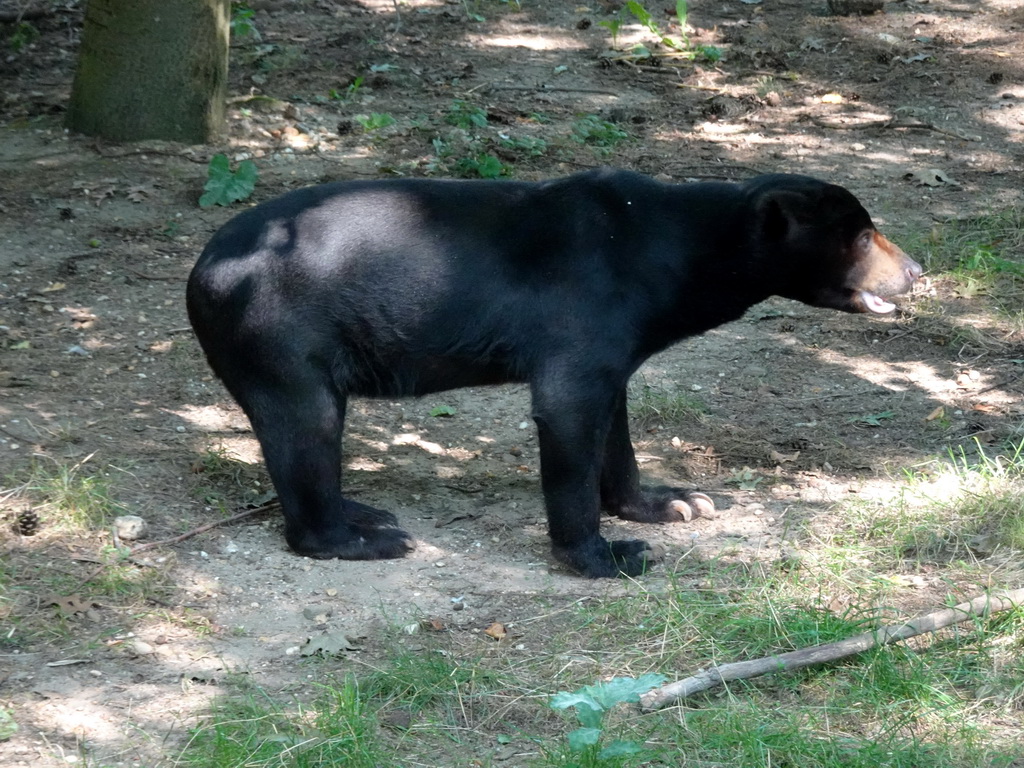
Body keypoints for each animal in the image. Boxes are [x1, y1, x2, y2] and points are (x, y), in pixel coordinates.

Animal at [188, 167, 925, 577]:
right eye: (862, 237)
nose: (917, 270)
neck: (677, 249)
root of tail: (203, 271)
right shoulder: (580, 326)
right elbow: (569, 427)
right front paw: (605, 557)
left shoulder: (615, 345)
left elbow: (617, 429)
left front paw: (671, 502)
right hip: (281, 341)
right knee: (307, 431)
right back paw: (363, 540)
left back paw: (362, 510)